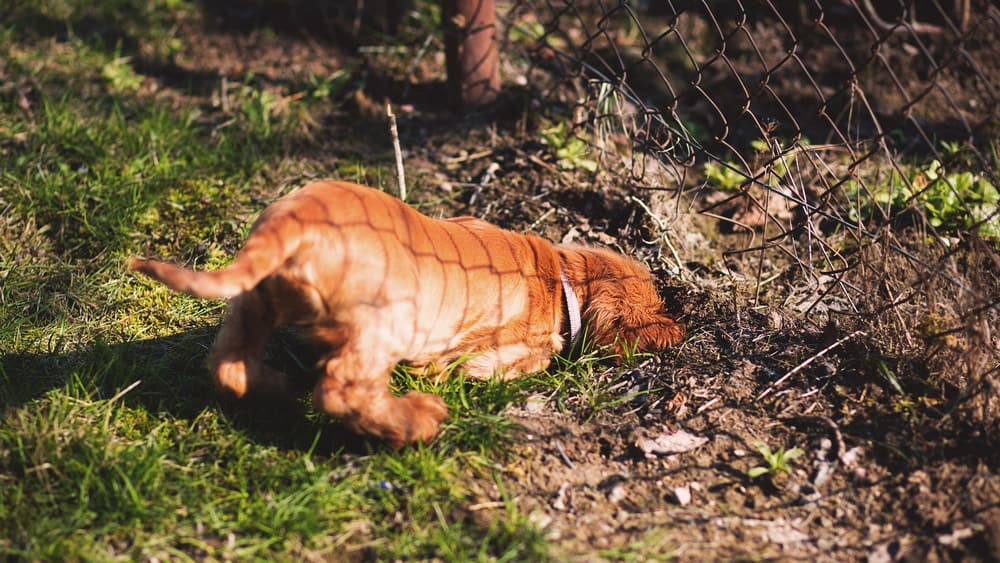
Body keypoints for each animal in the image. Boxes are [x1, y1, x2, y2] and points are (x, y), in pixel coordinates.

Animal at [129, 181, 684, 446]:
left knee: (229, 365)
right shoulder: (505, 353)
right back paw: (417, 421)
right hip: (385, 323)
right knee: (342, 389)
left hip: (253, 301)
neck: (562, 276)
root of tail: (295, 222)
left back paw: (282, 387)